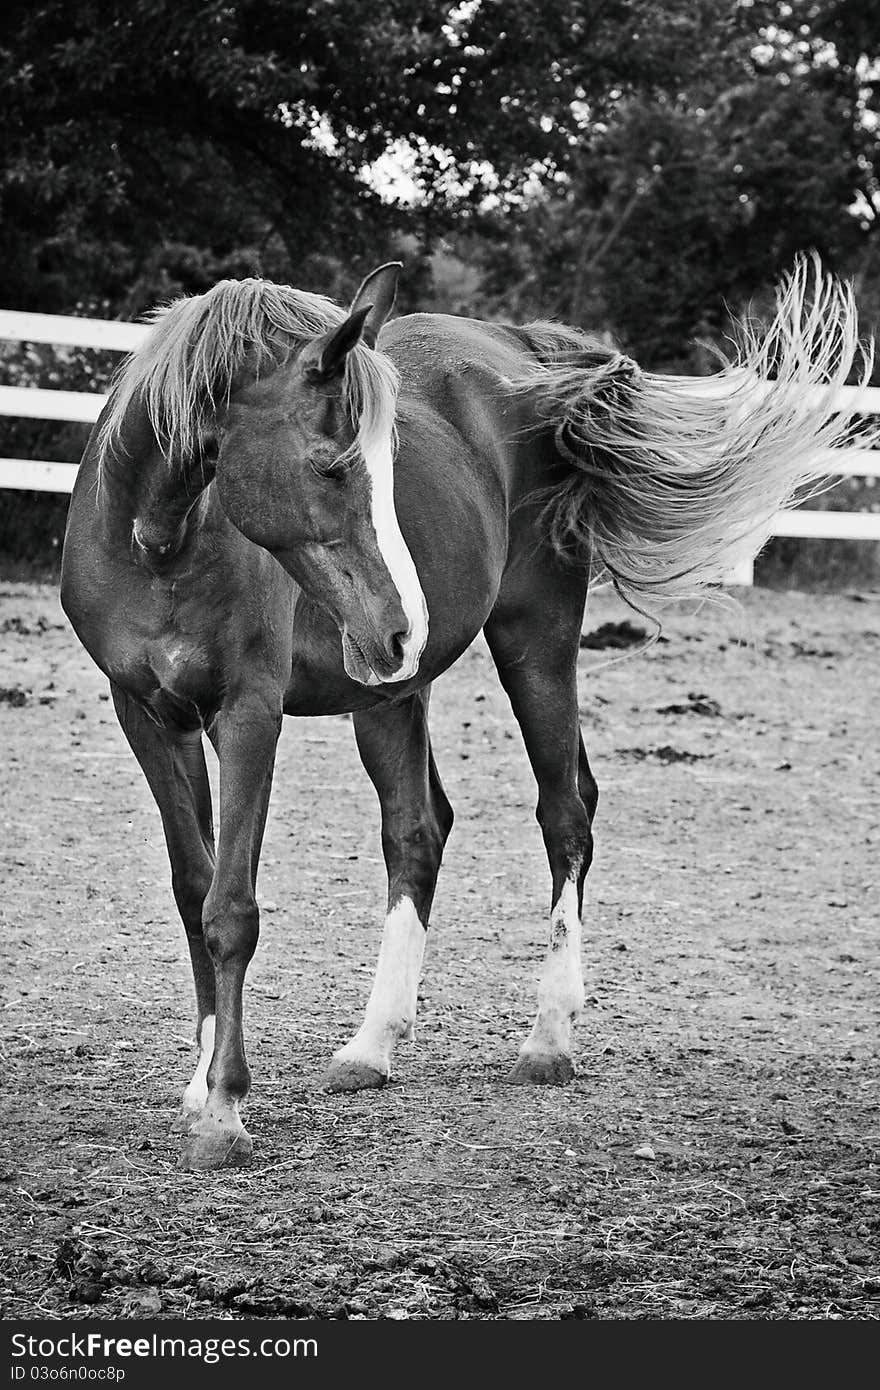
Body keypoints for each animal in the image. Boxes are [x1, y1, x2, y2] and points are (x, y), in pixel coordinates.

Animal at [61, 255, 873, 1167]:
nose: (402, 623)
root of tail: (527, 349)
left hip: (534, 641)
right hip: (386, 693)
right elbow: (192, 889)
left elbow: (231, 909)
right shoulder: (147, 716)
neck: (163, 535)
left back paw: (548, 1038)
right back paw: (371, 1046)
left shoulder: (248, 716)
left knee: (565, 814)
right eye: (333, 465)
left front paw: (228, 1111)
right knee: (419, 831)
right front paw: (202, 1087)